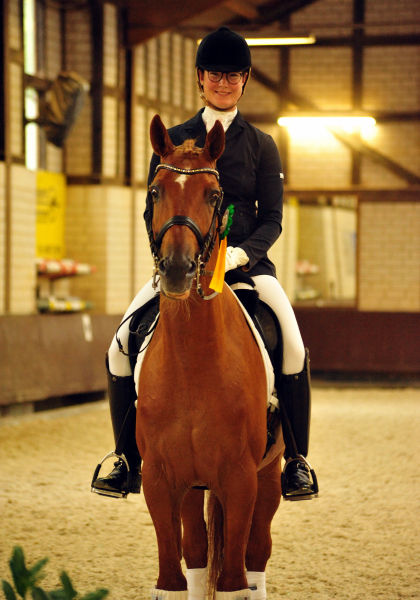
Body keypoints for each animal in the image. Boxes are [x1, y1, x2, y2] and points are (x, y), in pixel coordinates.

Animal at [136, 115, 284, 596]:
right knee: (199, 553)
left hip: (268, 477)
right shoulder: (161, 481)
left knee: (256, 557)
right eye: (155, 190)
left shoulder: (240, 482)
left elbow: (236, 579)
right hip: (195, 486)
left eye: (214, 195)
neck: (193, 364)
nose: (177, 270)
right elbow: (173, 577)